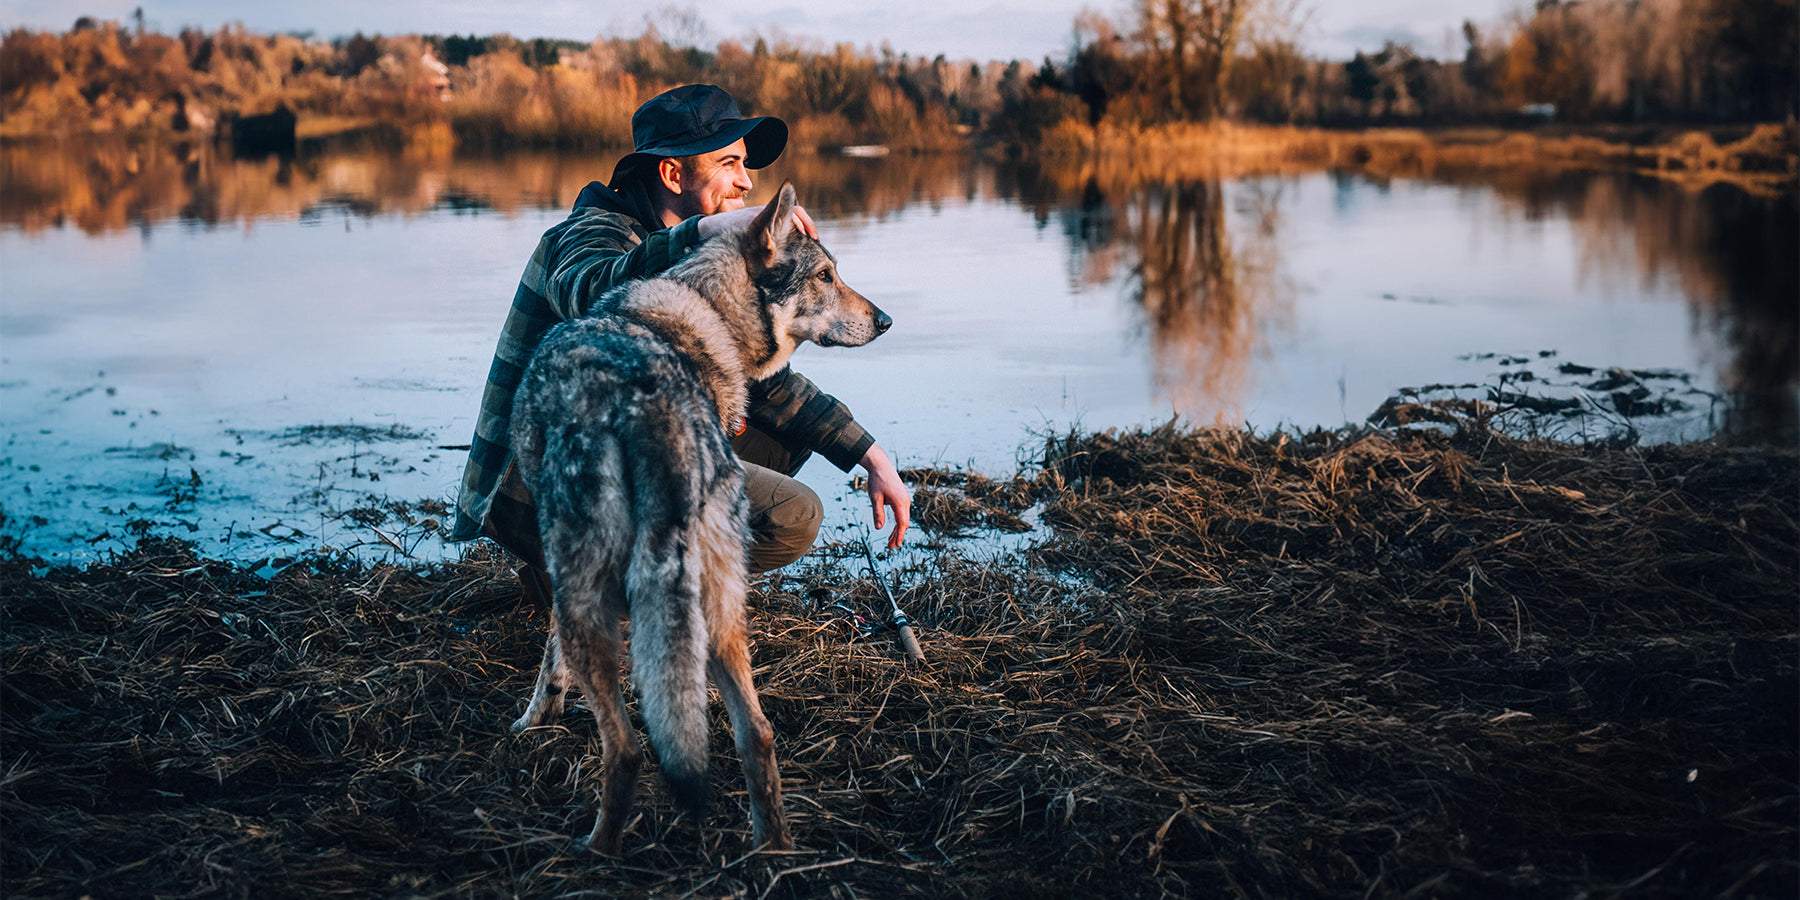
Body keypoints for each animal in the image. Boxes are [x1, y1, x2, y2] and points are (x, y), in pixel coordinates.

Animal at [511, 182, 889, 849]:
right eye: (826, 275)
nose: (886, 320)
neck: (704, 308)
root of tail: (653, 412)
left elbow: (548, 657)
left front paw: (532, 720)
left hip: (593, 594)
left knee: (627, 750)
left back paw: (595, 851)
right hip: (719, 604)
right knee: (757, 734)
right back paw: (773, 850)